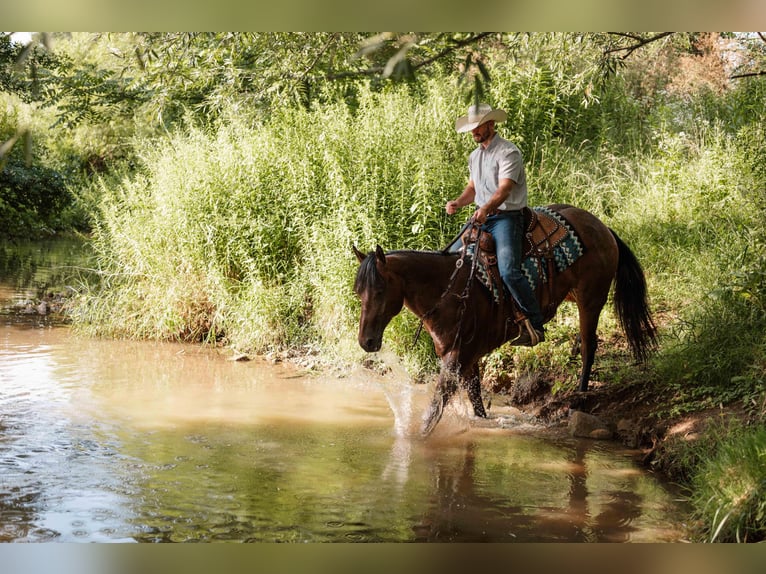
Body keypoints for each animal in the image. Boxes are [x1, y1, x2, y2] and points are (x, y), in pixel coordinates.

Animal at [353, 204, 657, 436]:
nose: (367, 341)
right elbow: (476, 402)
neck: (446, 289)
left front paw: (416, 440)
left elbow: (435, 408)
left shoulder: (457, 358)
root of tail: (602, 226)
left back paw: (578, 401)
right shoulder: (469, 358)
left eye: (379, 290)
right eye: (359, 292)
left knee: (588, 346)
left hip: (591, 299)